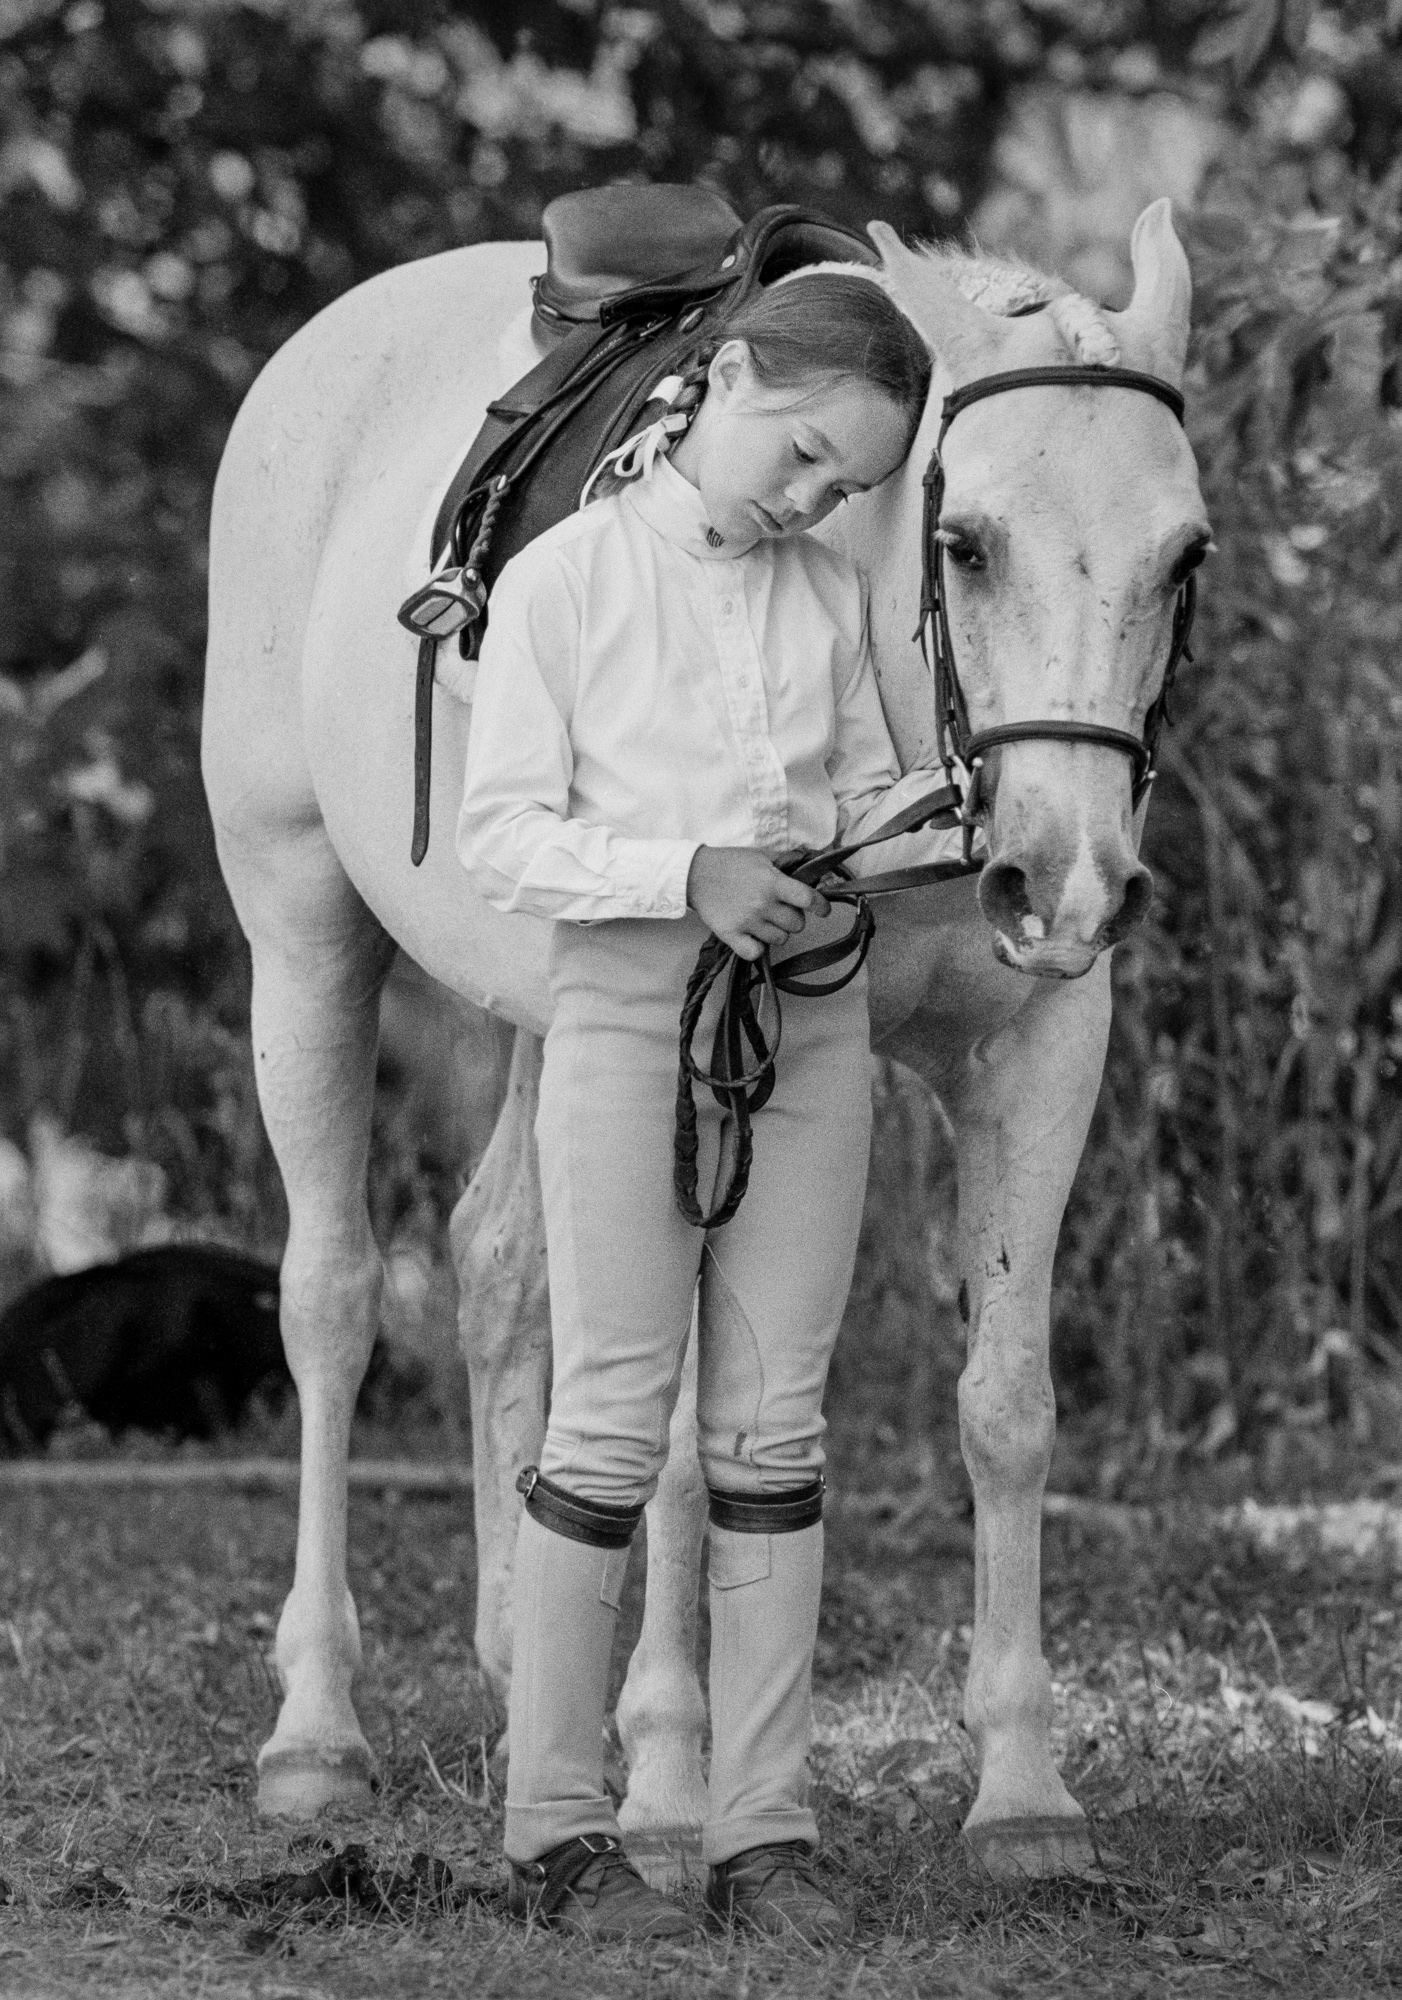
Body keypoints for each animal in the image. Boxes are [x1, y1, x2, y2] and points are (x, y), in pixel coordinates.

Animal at [202, 203, 1208, 1888]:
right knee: (330, 1301)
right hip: (305, 937)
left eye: (1182, 555)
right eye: (965, 542)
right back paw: (315, 1734)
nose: (1066, 880)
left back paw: (514, 1681)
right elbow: (676, 1445)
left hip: (549, 1016)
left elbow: (1003, 1408)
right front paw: (672, 1790)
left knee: (494, 1268)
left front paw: (1019, 1792)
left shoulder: (1041, 1047)